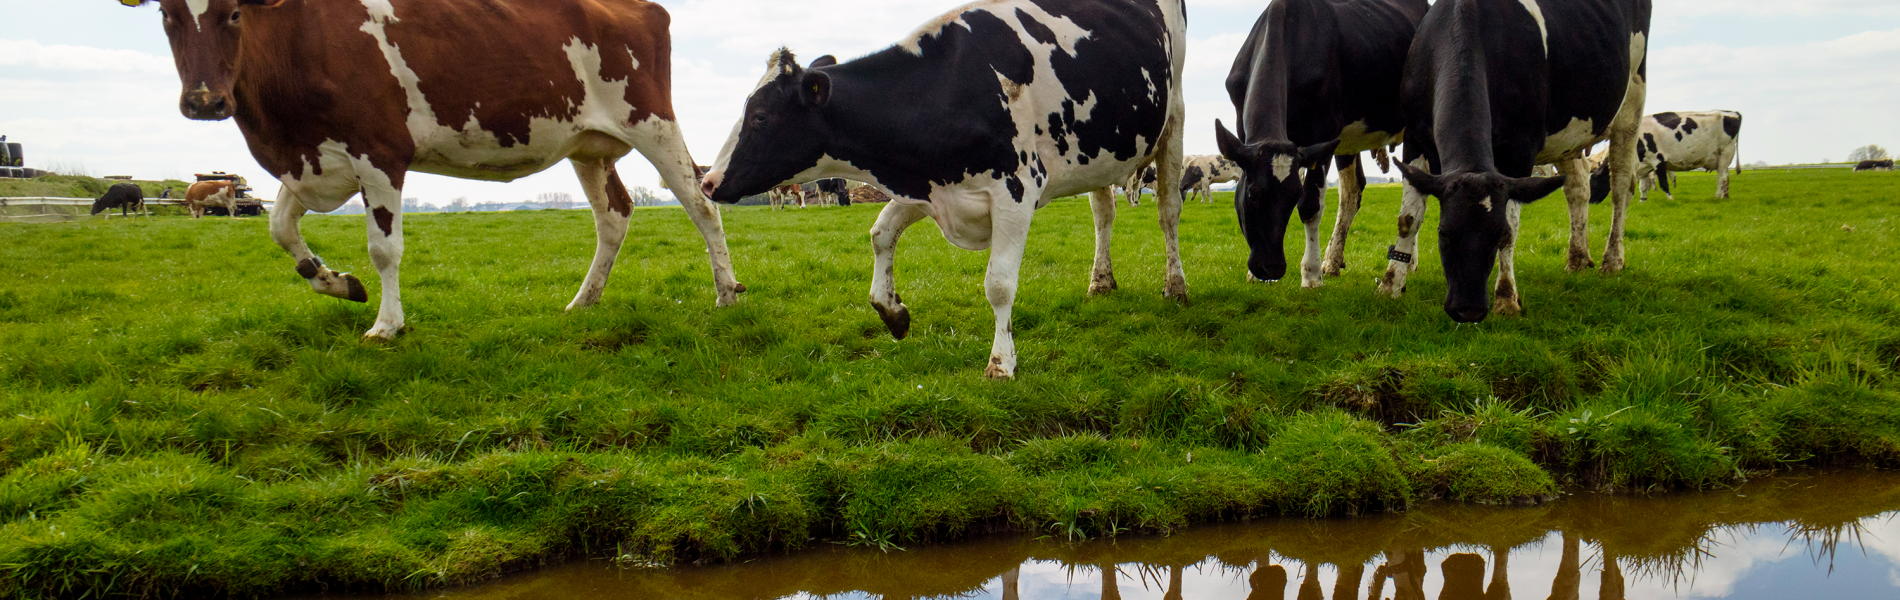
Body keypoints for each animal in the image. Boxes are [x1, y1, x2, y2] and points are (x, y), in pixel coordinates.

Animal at [126, 0, 741, 339]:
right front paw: (338, 283)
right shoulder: (311, 161)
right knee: (613, 216)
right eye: (167, 14)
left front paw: (386, 325)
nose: (203, 99)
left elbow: (384, 248)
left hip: (652, 122)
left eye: (233, 12)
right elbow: (280, 230)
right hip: (587, 146)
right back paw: (583, 301)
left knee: (701, 204)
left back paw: (726, 293)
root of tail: (639, 6)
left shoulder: (378, 153)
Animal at [706, 0, 1193, 379]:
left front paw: (1001, 363)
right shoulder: (928, 187)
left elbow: (999, 284)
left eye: (760, 116)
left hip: (1174, 117)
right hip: (1101, 152)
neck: (950, 88)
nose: (709, 181)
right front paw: (894, 313)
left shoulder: (1016, 191)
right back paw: (1101, 282)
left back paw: (1176, 286)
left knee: (1168, 212)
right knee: (1103, 214)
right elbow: (880, 235)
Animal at [1216, 0, 1428, 288]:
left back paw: (1408, 262)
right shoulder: (1242, 128)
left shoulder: (1323, 130)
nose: (1272, 268)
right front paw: (1254, 275)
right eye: (1253, 194)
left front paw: (1311, 274)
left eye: (1292, 196)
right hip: (1347, 142)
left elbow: (1310, 205)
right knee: (1352, 193)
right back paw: (1333, 261)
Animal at [1398, 0, 1649, 322]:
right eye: (1443, 233)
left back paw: (1613, 260)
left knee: (1621, 186)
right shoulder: (1413, 136)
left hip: (1632, 101)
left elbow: (1513, 226)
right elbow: (1408, 218)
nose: (1468, 310)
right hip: (1568, 134)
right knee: (1578, 186)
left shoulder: (1520, 146)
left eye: (1497, 234)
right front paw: (1390, 285)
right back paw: (1578, 258)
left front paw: (1506, 298)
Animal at [1580, 109, 1740, 200]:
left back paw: (1718, 196)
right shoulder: (1644, 165)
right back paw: (1725, 195)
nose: (1590, 201)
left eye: (1593, 183)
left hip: (1725, 152)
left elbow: (1663, 183)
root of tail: (1732, 112)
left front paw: (1670, 198)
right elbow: (1643, 185)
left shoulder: (1659, 160)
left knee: (1722, 177)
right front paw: (1642, 200)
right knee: (1726, 176)